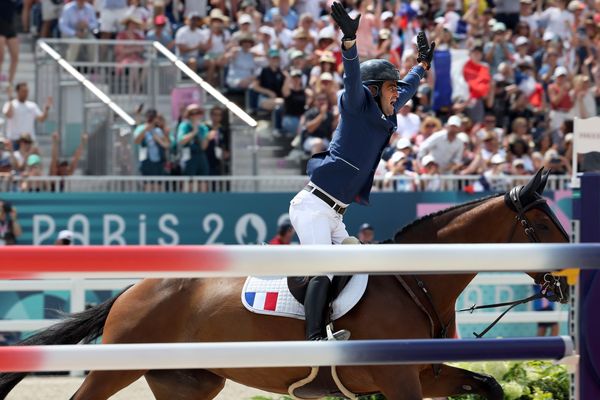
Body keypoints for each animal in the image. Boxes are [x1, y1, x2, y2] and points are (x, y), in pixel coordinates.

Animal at [0, 170, 568, 400]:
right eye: (541, 226)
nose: (563, 283)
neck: (416, 280)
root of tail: (133, 289)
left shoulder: (424, 375)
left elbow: (488, 384)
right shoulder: (399, 378)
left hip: (188, 383)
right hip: (115, 367)